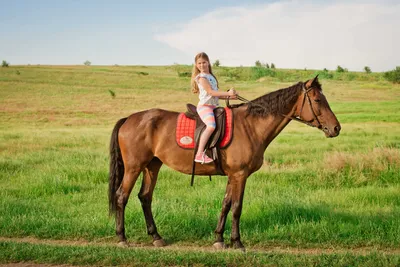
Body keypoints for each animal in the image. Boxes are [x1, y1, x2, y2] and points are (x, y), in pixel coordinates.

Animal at [108, 76, 340, 251]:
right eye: (317, 100)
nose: (336, 128)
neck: (250, 126)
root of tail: (129, 119)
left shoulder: (233, 176)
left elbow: (226, 204)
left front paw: (219, 238)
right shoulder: (240, 175)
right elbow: (237, 207)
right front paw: (237, 242)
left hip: (152, 166)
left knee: (145, 197)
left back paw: (156, 236)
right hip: (134, 168)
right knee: (121, 196)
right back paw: (122, 238)